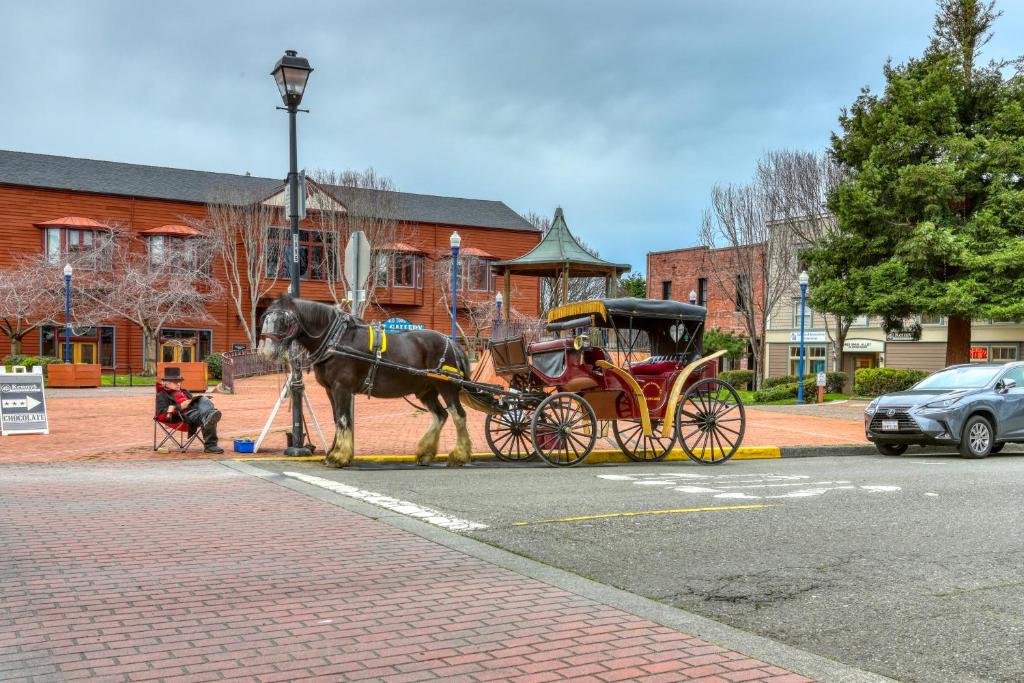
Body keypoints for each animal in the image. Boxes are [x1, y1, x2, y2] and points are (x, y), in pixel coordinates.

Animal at [260, 294, 475, 471]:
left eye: (283, 320)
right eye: (266, 319)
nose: (266, 352)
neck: (336, 339)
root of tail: (452, 343)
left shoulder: (342, 388)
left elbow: (343, 419)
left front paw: (339, 457)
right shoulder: (331, 390)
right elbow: (337, 419)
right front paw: (333, 454)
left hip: (447, 387)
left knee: (459, 416)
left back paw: (459, 455)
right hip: (426, 390)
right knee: (440, 415)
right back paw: (425, 453)